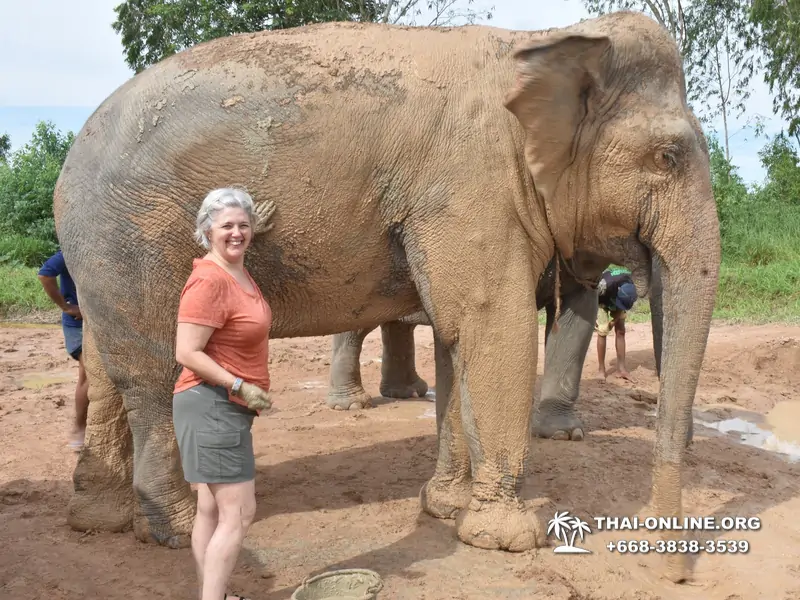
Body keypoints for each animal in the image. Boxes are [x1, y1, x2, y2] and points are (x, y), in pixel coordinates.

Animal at [53, 10, 720, 583]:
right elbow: (492, 325)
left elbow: (458, 335)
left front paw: (446, 509)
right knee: (150, 371)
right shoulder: (471, 186)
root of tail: (71, 155)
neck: (545, 40)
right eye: (667, 156)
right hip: (134, 234)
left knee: (106, 366)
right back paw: (174, 526)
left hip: (100, 255)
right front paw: (508, 538)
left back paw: (98, 520)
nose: (674, 563)